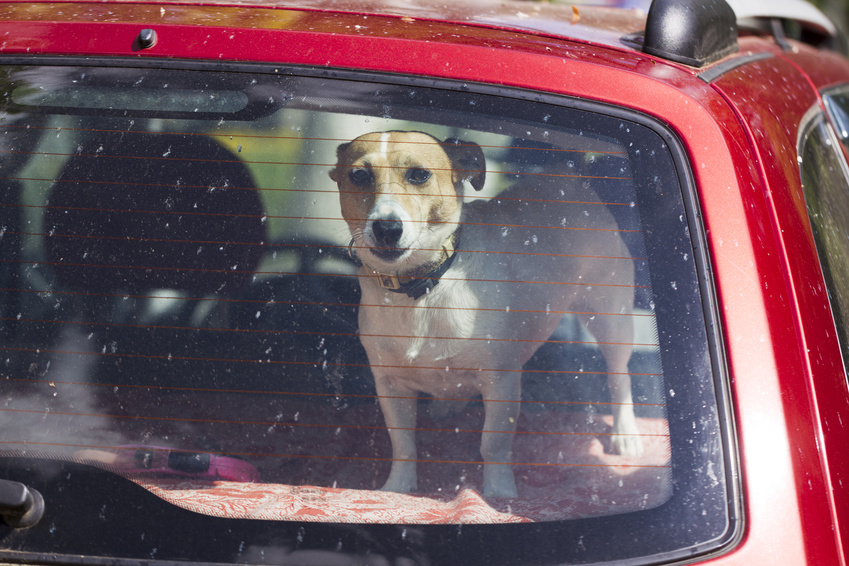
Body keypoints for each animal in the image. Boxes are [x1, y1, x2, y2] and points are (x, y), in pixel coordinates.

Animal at [328, 131, 640, 500]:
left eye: (419, 175)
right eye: (359, 176)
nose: (386, 227)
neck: (423, 287)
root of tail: (568, 176)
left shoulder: (501, 380)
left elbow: (492, 443)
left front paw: (498, 493)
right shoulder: (390, 386)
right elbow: (403, 443)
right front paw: (398, 488)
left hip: (611, 319)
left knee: (619, 375)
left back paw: (625, 433)